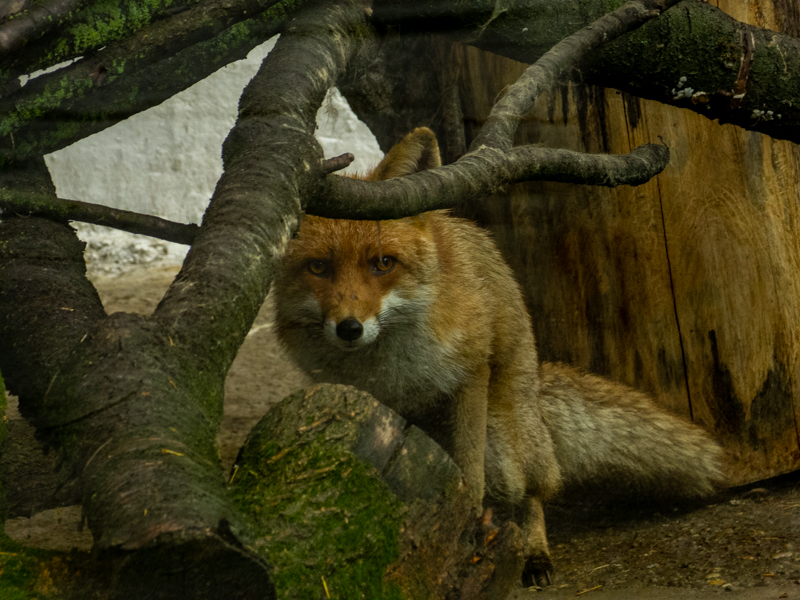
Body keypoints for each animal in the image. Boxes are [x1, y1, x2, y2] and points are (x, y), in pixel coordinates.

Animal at [272, 127, 724, 586]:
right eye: (318, 267)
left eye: (383, 263)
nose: (350, 328)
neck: (388, 365)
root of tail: (535, 387)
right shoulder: (377, 403)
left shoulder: (470, 373)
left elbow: (470, 477)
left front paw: (463, 532)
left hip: (505, 445)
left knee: (530, 495)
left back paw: (534, 555)